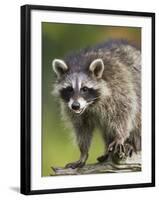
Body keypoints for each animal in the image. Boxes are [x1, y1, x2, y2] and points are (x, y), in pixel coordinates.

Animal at [51, 40, 141, 169]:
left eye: (84, 89)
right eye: (70, 89)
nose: (75, 106)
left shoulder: (119, 87)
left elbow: (124, 113)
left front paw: (120, 137)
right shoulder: (71, 108)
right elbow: (81, 128)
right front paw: (83, 152)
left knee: (137, 118)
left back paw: (132, 144)